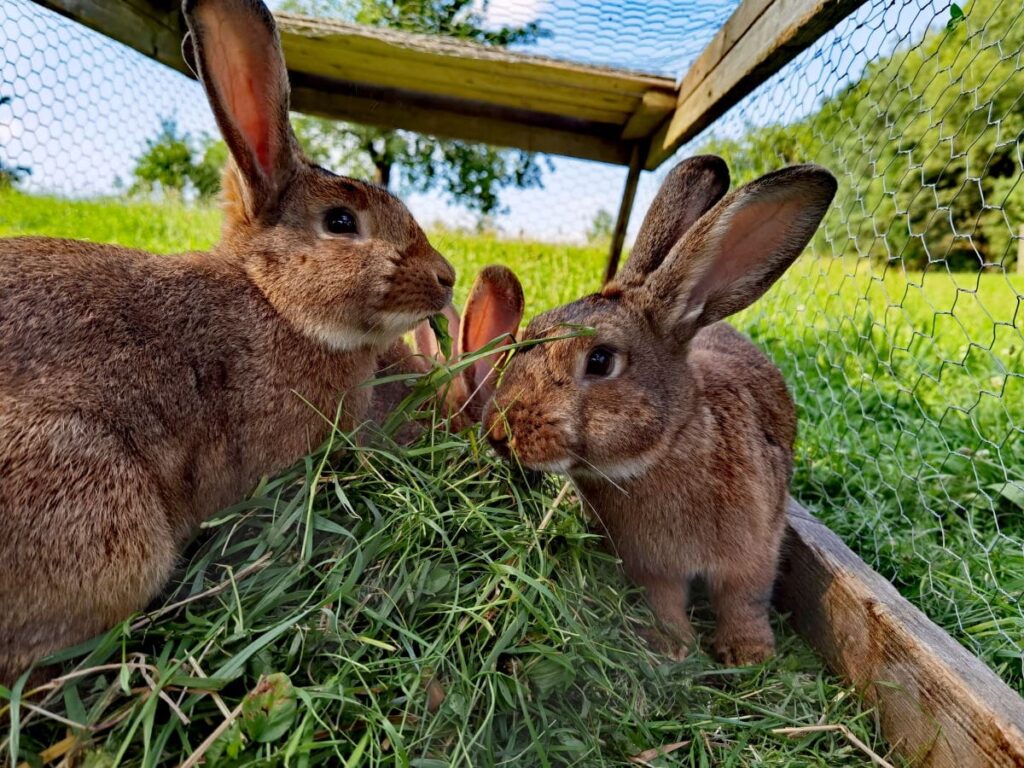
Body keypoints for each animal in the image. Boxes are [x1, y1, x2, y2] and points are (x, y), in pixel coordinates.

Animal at [485, 157, 831, 667]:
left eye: (601, 360)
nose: (498, 431)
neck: (666, 448)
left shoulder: (756, 550)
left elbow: (743, 597)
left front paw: (747, 652)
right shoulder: (651, 568)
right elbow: (663, 599)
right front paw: (671, 645)